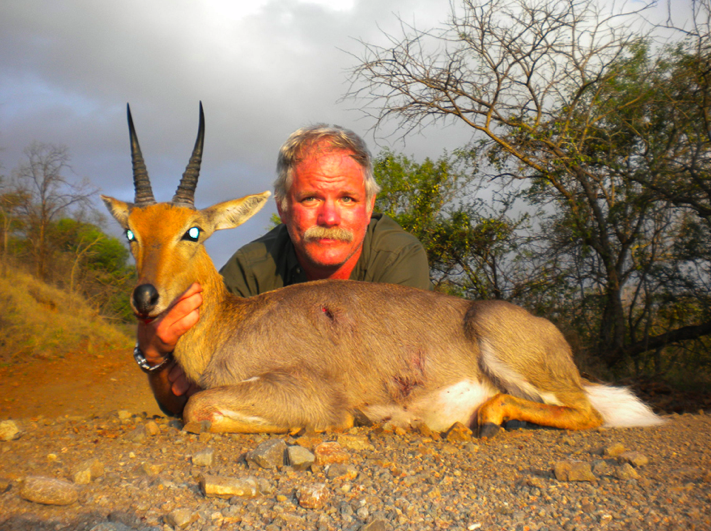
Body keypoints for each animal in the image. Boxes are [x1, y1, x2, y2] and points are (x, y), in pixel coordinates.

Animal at [100, 104, 660, 436]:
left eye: (193, 231)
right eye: (131, 233)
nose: (145, 297)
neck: (231, 322)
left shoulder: (307, 391)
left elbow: (197, 411)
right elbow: (194, 408)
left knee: (589, 412)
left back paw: (487, 417)